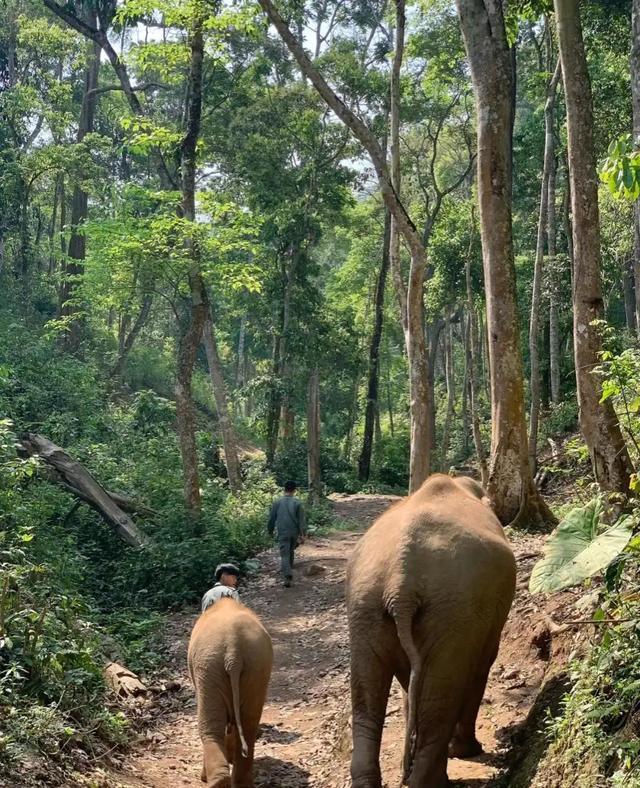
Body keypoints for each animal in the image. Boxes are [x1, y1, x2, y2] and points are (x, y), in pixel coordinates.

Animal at [188, 596, 272, 788]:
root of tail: (234, 652)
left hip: (209, 667)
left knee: (210, 727)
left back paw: (214, 781)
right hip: (257, 666)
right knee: (249, 724)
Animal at [344, 470, 516, 784]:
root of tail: (401, 582)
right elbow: (481, 667)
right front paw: (467, 752)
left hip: (366, 605)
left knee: (367, 695)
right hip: (453, 610)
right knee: (441, 697)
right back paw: (434, 776)